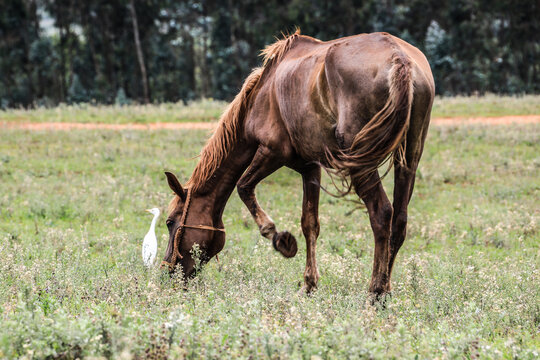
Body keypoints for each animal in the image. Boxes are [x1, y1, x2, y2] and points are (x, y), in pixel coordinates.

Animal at [161, 29, 434, 296]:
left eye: (170, 222)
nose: (168, 272)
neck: (262, 94)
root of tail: (399, 58)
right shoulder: (310, 168)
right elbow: (310, 223)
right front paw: (309, 284)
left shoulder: (272, 152)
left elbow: (244, 187)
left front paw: (280, 240)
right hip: (409, 159)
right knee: (399, 221)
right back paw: (386, 289)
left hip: (362, 162)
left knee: (381, 214)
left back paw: (376, 292)